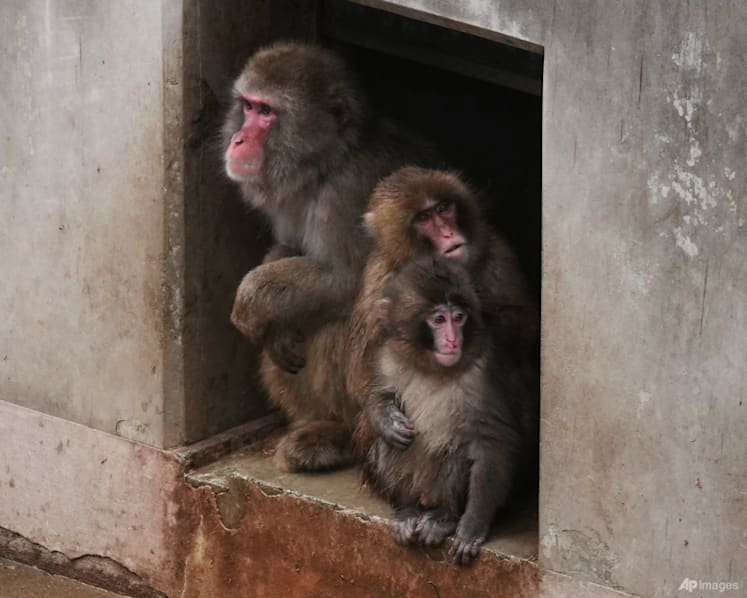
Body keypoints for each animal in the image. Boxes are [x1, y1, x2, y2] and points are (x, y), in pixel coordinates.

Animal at [222, 41, 439, 471]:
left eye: (267, 113)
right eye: (249, 106)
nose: (238, 139)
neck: (325, 164)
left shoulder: (349, 194)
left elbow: (350, 281)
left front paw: (251, 300)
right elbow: (289, 250)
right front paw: (277, 327)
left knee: (338, 324)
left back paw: (340, 437)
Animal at [357, 255, 535, 565]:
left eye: (459, 317)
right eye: (439, 319)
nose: (452, 340)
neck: (432, 366)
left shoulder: (482, 373)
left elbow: (494, 441)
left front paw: (473, 524)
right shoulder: (387, 355)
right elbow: (375, 396)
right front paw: (387, 420)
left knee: (457, 451)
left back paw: (444, 517)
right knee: (390, 446)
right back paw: (408, 510)